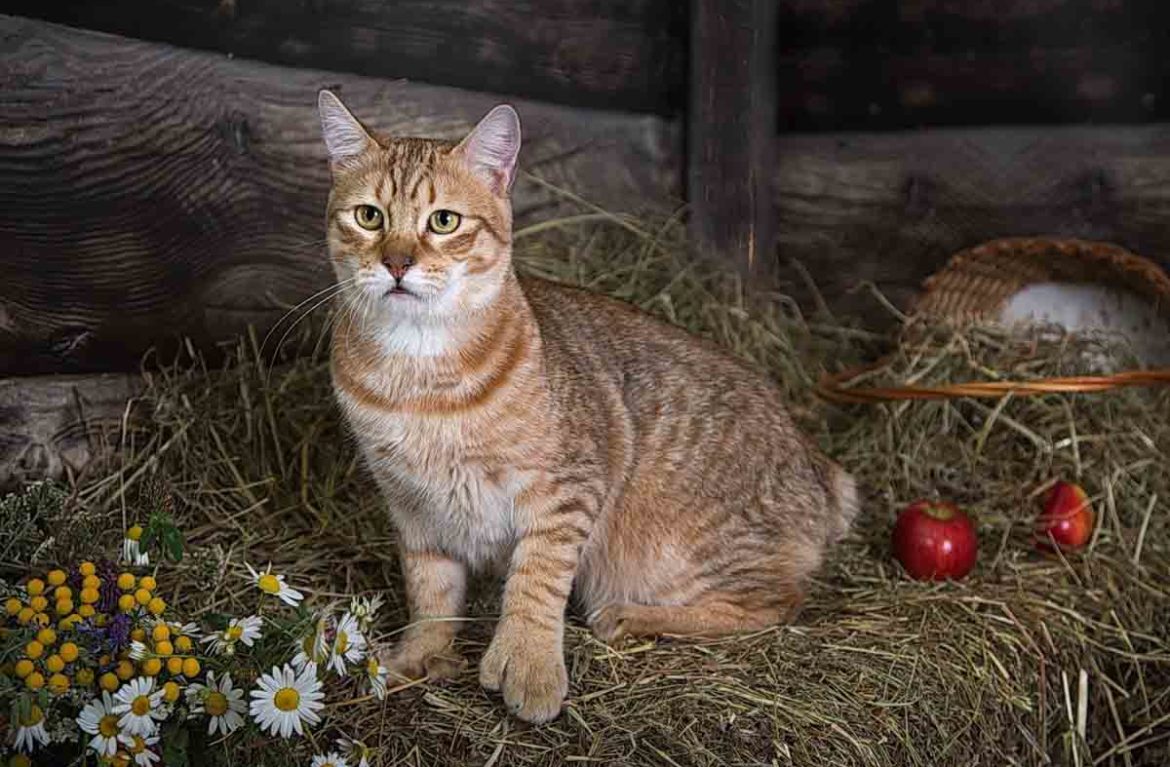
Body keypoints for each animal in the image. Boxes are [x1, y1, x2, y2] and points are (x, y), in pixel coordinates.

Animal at [318, 91, 861, 724]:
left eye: (443, 221)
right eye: (369, 217)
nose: (398, 263)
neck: (419, 377)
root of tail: (816, 463)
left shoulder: (566, 489)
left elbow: (536, 580)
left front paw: (528, 662)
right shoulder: (413, 508)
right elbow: (430, 592)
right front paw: (417, 655)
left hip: (678, 553)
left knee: (776, 604)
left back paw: (633, 615)